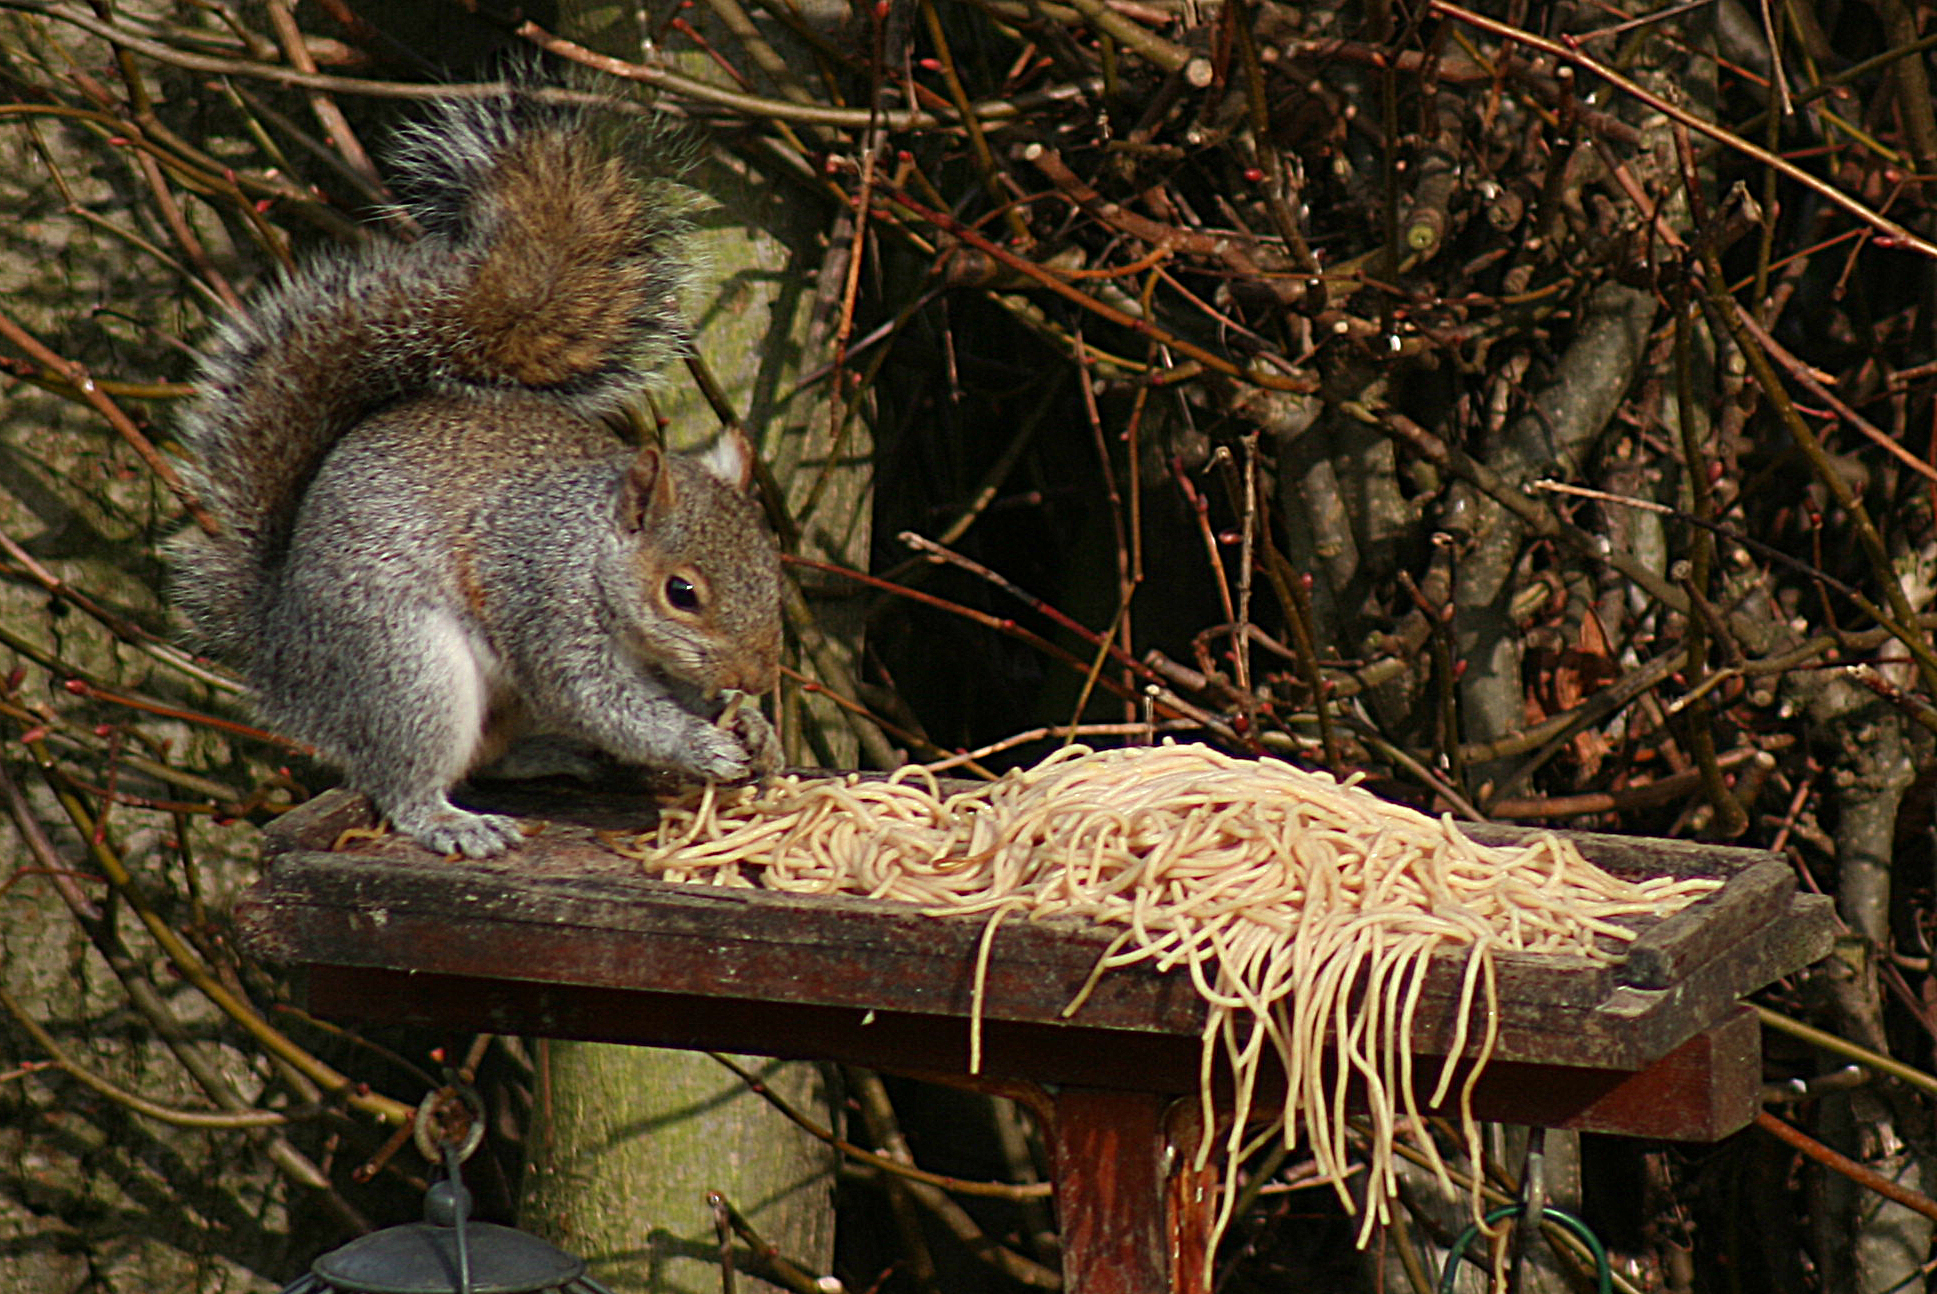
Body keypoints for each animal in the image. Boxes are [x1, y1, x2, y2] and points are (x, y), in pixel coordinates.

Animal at [171, 86, 784, 858]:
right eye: (682, 593)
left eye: (772, 566)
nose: (756, 674)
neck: (593, 550)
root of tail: (284, 654)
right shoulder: (545, 603)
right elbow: (597, 700)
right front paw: (702, 745)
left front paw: (751, 725)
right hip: (406, 667)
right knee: (409, 777)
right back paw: (452, 822)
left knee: (487, 756)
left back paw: (551, 757)